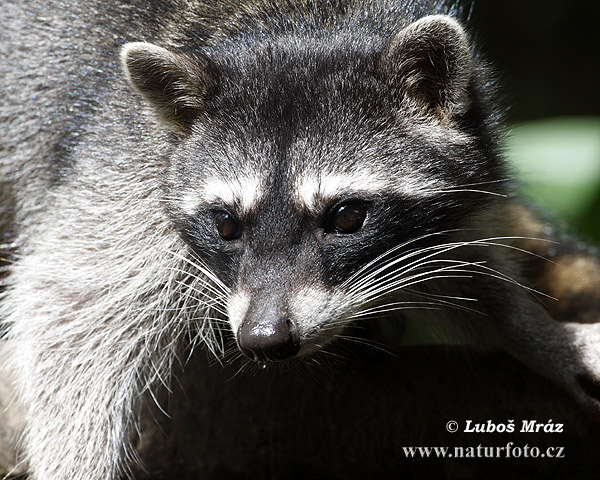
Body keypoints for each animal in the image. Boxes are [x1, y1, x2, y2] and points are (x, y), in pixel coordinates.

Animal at [0, 0, 596, 478]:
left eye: (348, 217)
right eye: (226, 225)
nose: (264, 338)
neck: (293, 21)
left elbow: (460, 268)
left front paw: (532, 329)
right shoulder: (123, 176)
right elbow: (69, 310)